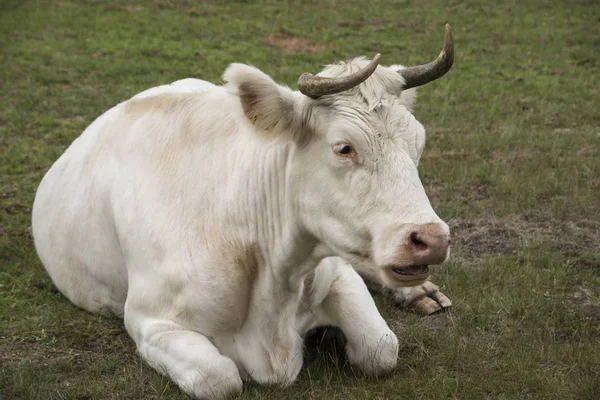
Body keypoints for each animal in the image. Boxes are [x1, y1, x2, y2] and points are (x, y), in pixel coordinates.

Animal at [32, 25, 454, 400]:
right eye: (344, 148)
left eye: (419, 142)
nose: (431, 239)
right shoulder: (149, 320)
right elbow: (219, 379)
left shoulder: (336, 274)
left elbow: (381, 348)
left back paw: (420, 292)